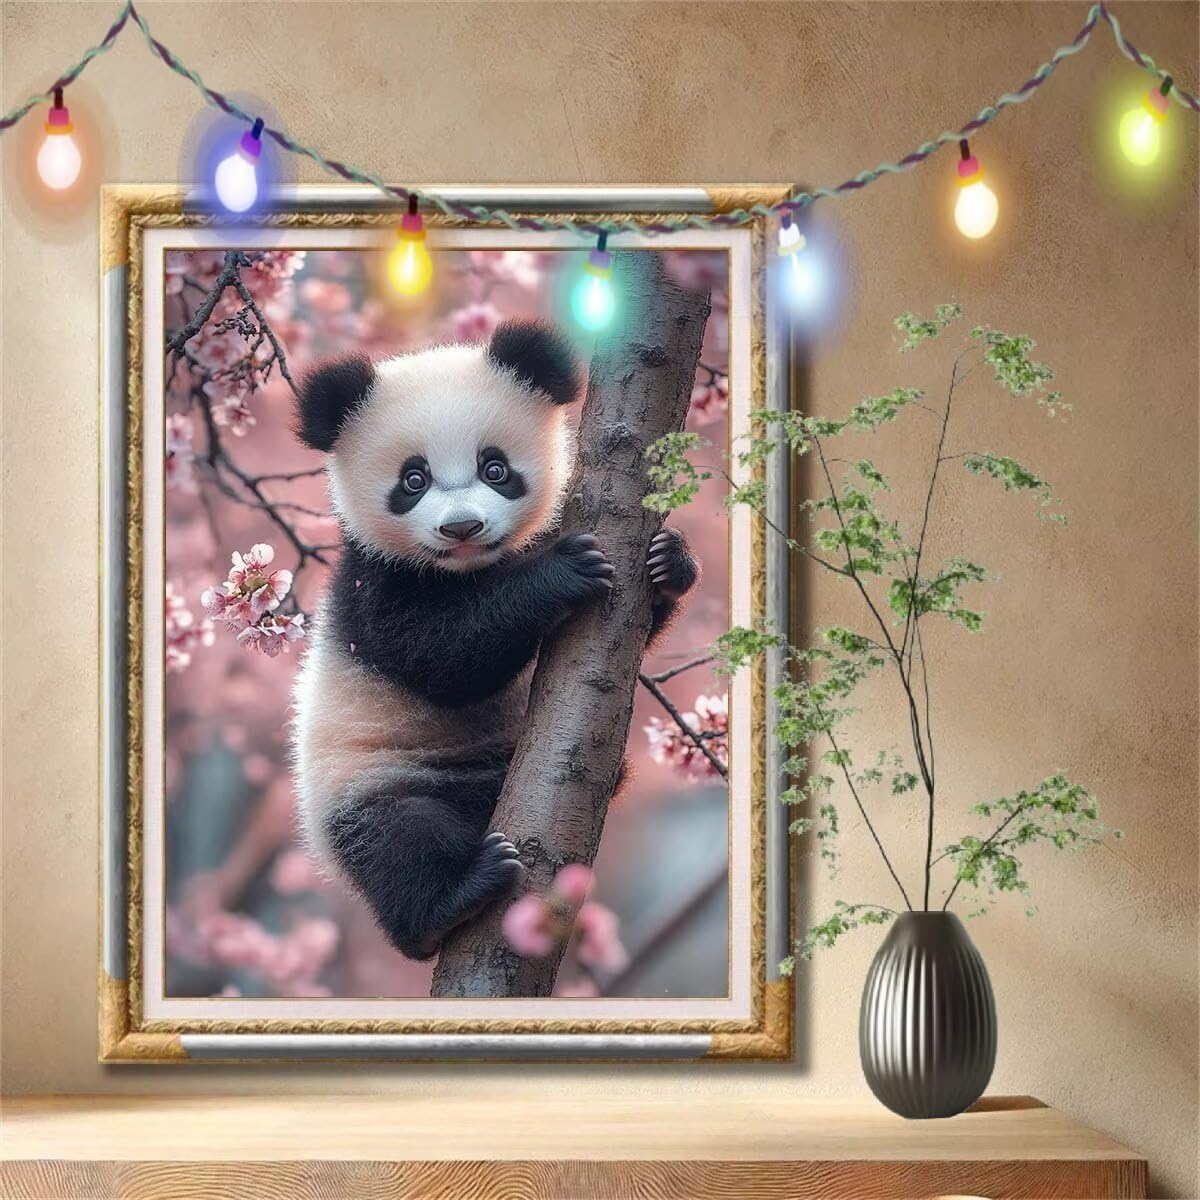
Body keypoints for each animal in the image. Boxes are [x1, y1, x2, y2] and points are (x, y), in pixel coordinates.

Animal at [291, 320, 698, 961]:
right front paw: (560, 573)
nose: (462, 527)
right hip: (367, 778)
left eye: (495, 469)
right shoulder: (371, 585)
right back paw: (445, 903)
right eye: (413, 480)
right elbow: (440, 657)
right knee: (397, 839)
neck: (470, 567)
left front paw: (668, 562)